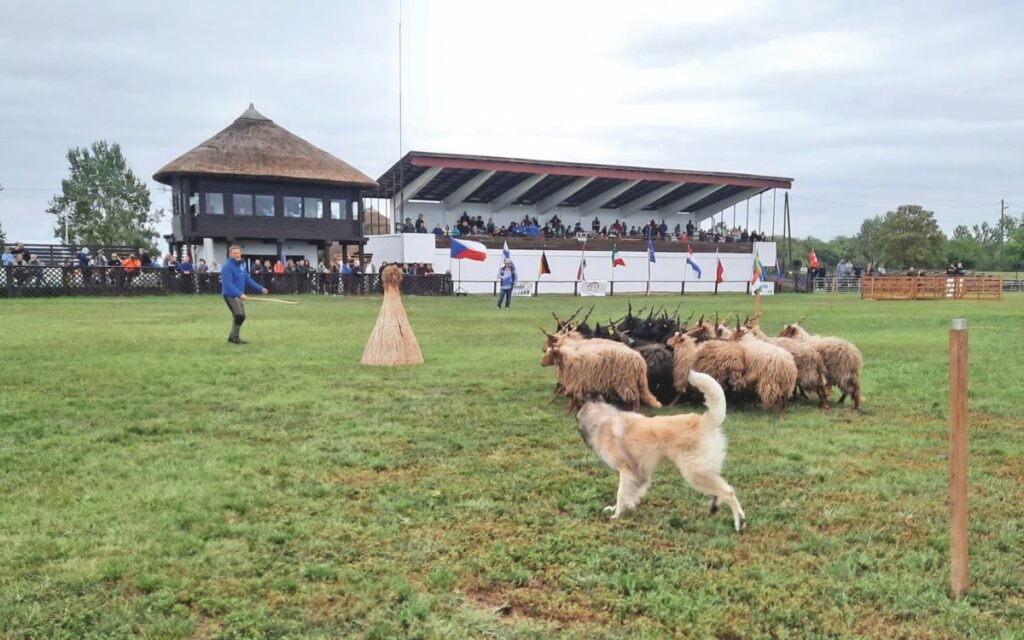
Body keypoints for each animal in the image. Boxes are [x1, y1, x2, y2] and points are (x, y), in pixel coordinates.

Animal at [573, 368, 749, 528]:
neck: (602, 420)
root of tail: (703, 420)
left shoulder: (627, 472)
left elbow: (621, 494)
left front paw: (617, 515)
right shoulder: (639, 474)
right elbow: (630, 495)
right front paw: (624, 507)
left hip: (694, 473)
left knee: (728, 491)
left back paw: (739, 520)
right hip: (703, 471)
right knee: (720, 487)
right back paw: (716, 507)